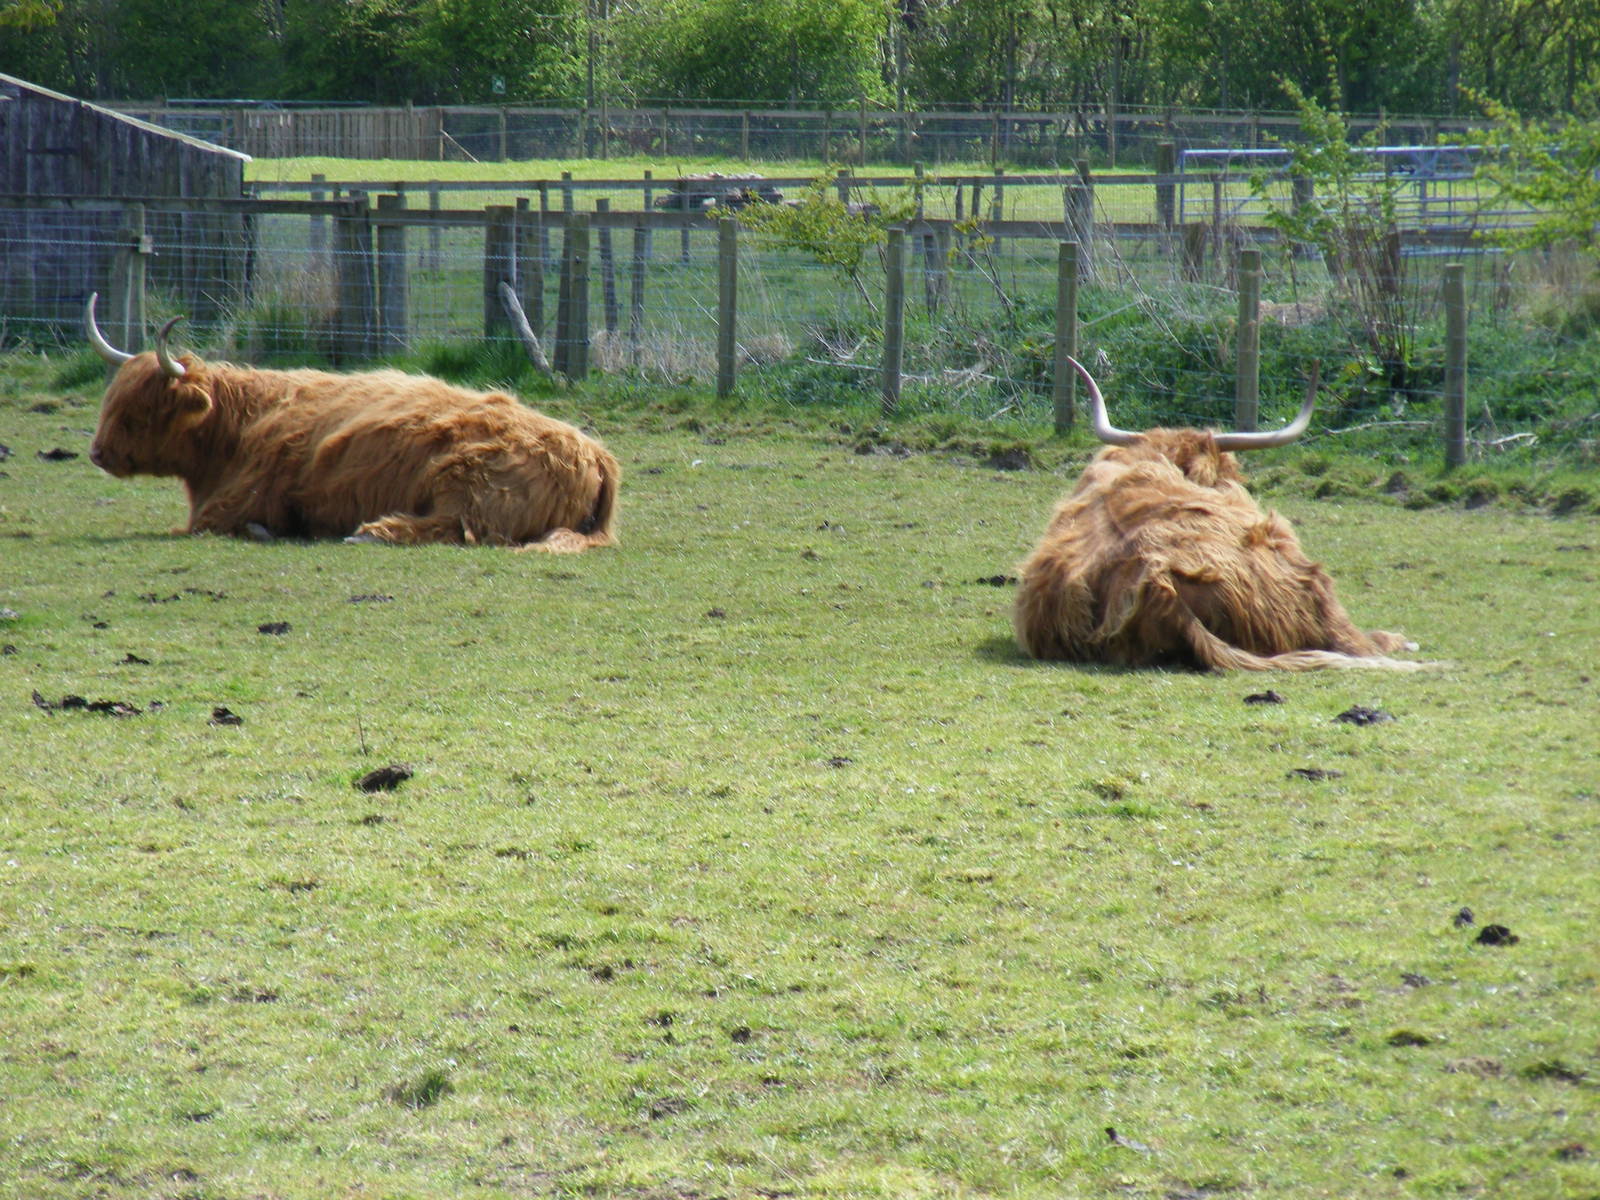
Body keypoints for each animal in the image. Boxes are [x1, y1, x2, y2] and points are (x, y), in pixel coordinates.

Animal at [84, 295, 617, 552]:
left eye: (140, 411)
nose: (97, 453)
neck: (240, 426)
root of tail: (594, 452)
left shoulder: (235, 502)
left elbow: (201, 526)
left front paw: (266, 531)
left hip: (469, 484)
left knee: (457, 527)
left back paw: (371, 532)